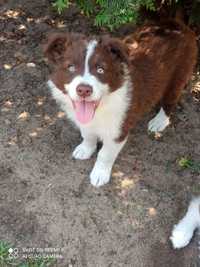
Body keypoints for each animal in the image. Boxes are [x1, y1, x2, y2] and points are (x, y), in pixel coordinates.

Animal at [43, 20, 197, 188]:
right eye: (70, 67)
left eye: (101, 69)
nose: (84, 90)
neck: (102, 107)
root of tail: (177, 25)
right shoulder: (85, 121)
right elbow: (87, 134)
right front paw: (85, 149)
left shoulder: (119, 130)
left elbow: (105, 154)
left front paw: (99, 174)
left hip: (179, 75)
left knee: (171, 100)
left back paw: (159, 121)